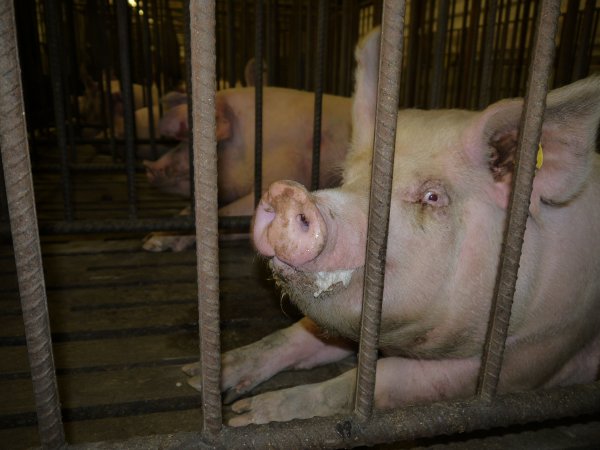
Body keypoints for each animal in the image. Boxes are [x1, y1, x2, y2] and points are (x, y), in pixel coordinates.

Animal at [180, 29, 600, 428]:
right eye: (346, 178)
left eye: (432, 197)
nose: (287, 194)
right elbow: (298, 334)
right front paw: (200, 379)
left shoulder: (532, 352)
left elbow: (379, 381)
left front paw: (249, 416)